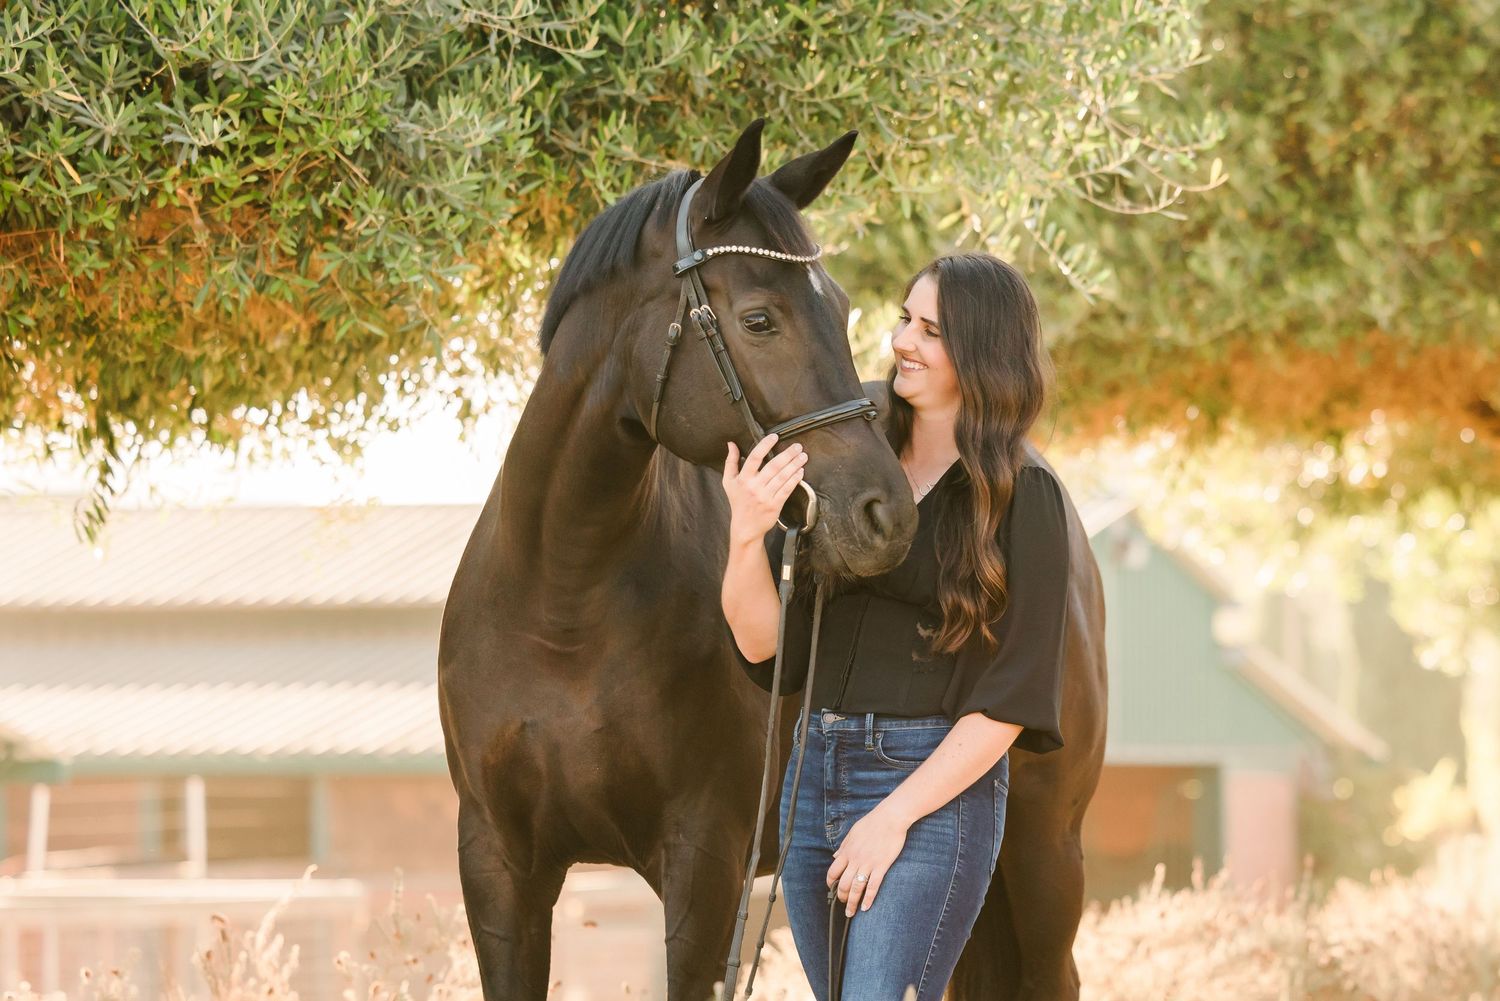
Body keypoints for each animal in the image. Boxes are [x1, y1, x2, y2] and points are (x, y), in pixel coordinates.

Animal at [439, 118, 1108, 1001]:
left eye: (849, 307)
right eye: (759, 320)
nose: (886, 516)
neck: (564, 599)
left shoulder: (704, 863)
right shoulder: (498, 864)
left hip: (1044, 856)